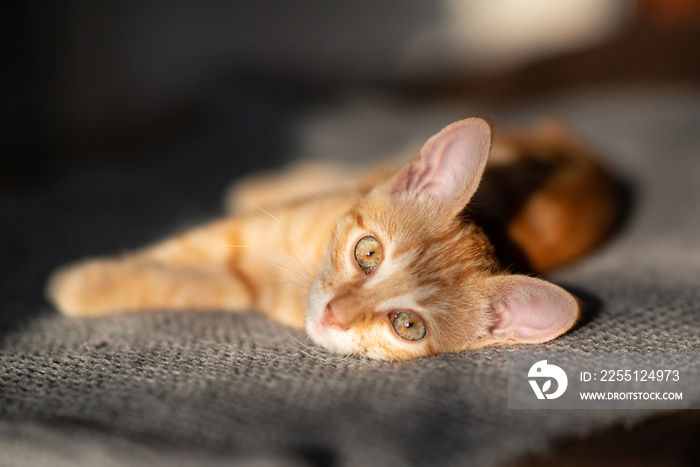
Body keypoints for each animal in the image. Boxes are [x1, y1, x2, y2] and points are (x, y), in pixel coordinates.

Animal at [47, 117, 616, 362]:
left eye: (407, 325)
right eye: (369, 253)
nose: (335, 314)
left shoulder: (242, 284)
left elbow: (192, 284)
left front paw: (84, 287)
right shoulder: (242, 229)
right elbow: (175, 251)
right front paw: (90, 279)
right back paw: (265, 181)